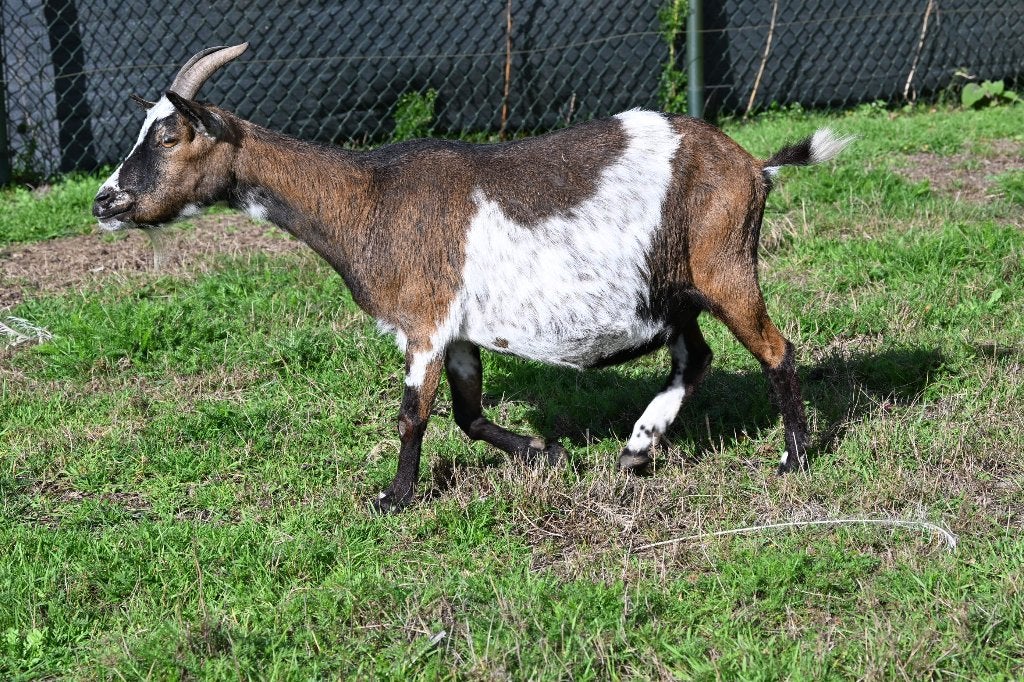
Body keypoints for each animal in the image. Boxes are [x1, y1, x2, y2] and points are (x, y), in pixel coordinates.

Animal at [93, 43, 852, 512]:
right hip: (675, 288)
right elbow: (466, 413)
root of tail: (754, 165)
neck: (366, 197)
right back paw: (638, 447)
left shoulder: (425, 321)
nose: (104, 202)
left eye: (168, 136)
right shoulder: (457, 332)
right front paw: (544, 454)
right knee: (696, 356)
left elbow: (412, 415)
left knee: (776, 350)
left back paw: (792, 459)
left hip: (725, 266)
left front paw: (394, 498)